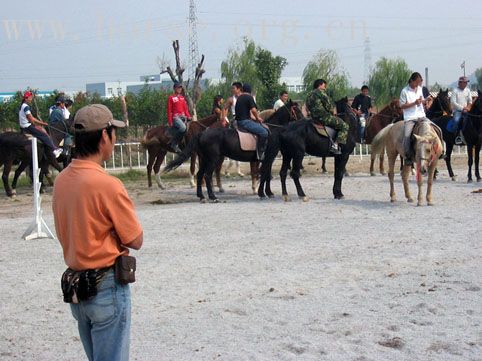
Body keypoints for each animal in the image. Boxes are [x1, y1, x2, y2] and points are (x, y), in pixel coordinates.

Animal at [164, 101, 304, 201]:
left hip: (204, 159)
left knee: (200, 175)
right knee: (207, 175)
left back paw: (202, 196)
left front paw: (266, 192)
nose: (305, 119)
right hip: (213, 159)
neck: (272, 130)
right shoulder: (269, 157)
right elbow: (265, 174)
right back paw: (212, 197)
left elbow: (266, 175)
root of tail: (203, 132)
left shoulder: (267, 159)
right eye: (296, 110)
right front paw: (264, 193)